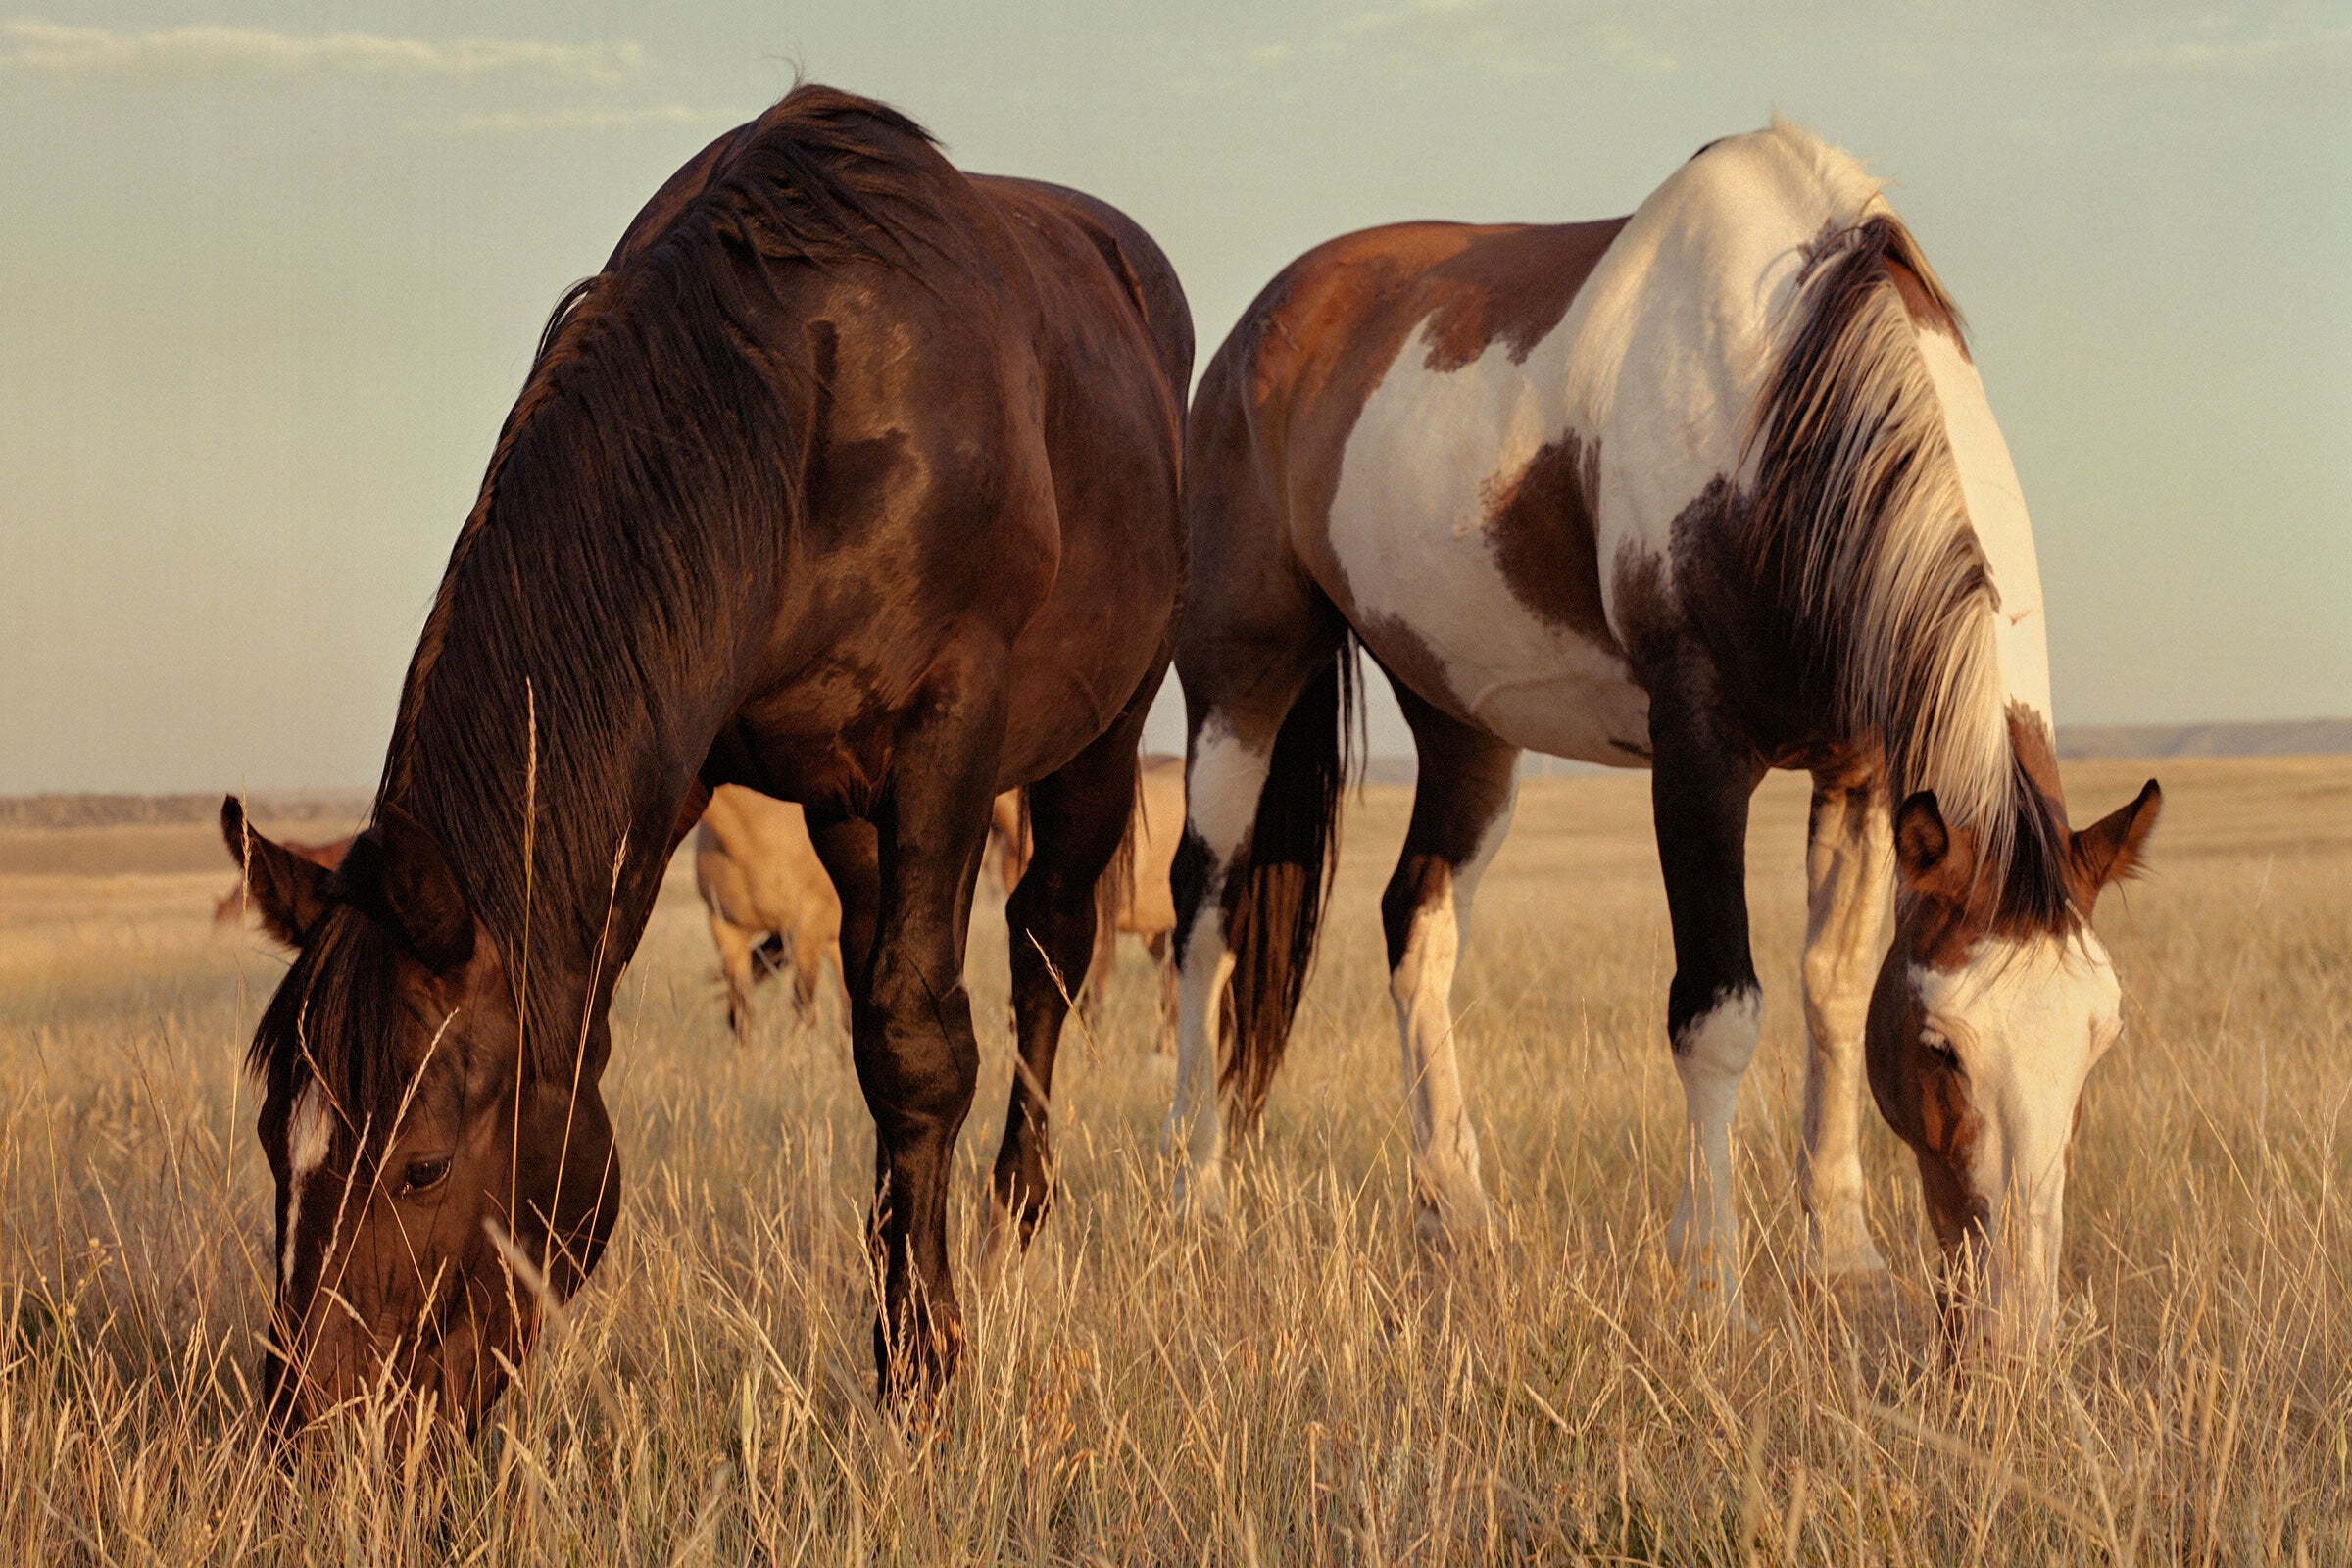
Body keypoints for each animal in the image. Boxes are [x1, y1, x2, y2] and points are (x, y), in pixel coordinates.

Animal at [221, 88, 1195, 1439]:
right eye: (275, 1138)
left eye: (421, 1164)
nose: (313, 1437)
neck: (803, 398)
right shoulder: (708, 760)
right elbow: (882, 1042)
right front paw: (898, 1327)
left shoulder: (952, 724)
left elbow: (925, 1044)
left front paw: (925, 1368)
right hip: (854, 806)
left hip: (1098, 735)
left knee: (1049, 944)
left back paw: (1021, 1217)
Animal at [1166, 120, 2154, 1363]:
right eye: (1941, 1047)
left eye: (2098, 1042)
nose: (2015, 1336)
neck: (1775, 402)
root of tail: (1259, 329)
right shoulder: (1698, 755)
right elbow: (1718, 1012)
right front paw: (1711, 1288)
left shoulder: (1861, 770)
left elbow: (1832, 989)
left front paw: (1843, 1258)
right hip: (1240, 679)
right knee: (1203, 910)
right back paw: (1195, 1195)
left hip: (1464, 723)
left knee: (1417, 922)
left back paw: (1460, 1218)